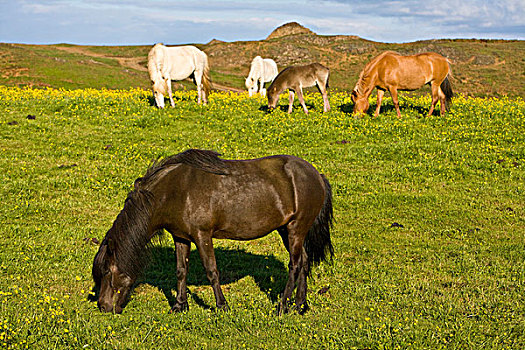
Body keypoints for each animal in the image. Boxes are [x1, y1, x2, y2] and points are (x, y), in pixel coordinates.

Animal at [92, 149, 334, 316]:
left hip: (295, 230)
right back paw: (300, 305)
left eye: (107, 272)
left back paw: (283, 306)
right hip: (288, 231)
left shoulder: (202, 236)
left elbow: (212, 271)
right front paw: (180, 305)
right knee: (304, 262)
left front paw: (221, 306)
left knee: (294, 265)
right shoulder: (181, 237)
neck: (173, 191)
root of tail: (317, 175)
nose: (103, 306)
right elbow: (181, 270)